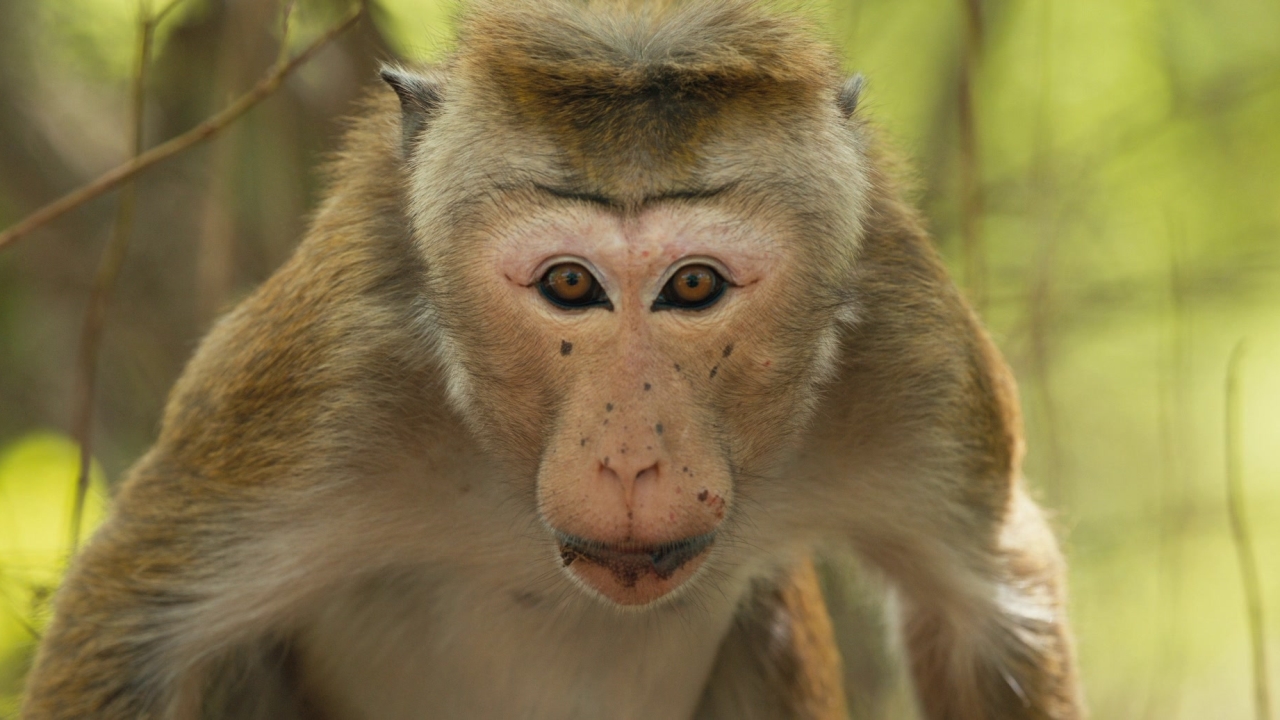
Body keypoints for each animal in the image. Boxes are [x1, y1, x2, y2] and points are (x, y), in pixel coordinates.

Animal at [22, 1, 1083, 718]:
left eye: (694, 287)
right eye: (570, 285)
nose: (631, 460)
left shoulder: (911, 350)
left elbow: (991, 611)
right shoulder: (321, 382)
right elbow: (130, 629)